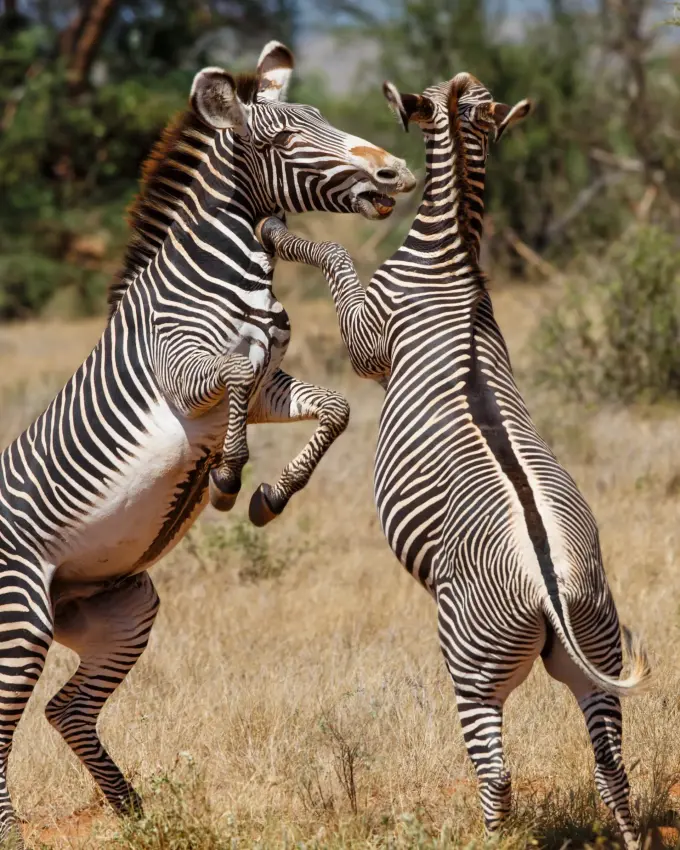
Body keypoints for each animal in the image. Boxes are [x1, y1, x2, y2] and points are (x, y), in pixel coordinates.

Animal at [0, 42, 415, 845]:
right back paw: (9, 827)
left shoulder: (272, 388)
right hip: (20, 614)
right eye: (283, 140)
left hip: (118, 608)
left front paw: (271, 494)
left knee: (67, 708)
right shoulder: (191, 378)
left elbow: (336, 407)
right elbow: (233, 372)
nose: (395, 173)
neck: (235, 277)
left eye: (321, 117)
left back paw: (132, 808)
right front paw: (225, 474)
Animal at [256, 73, 650, 849]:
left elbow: (337, 261)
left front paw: (279, 233)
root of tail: (550, 588)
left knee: (497, 774)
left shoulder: (368, 340)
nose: (386, 178)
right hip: (598, 650)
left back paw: (486, 834)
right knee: (612, 767)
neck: (453, 258)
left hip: (471, 664)